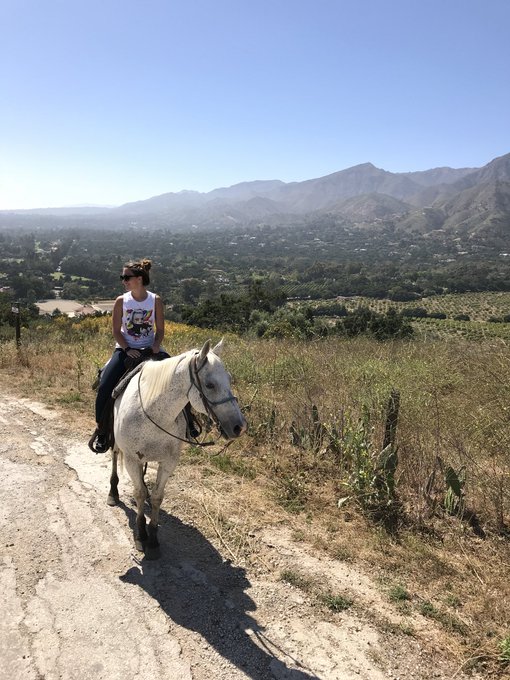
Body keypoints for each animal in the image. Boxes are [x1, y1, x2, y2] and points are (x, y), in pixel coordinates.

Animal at [107, 339, 247, 558]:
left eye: (229, 380)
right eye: (210, 385)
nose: (239, 427)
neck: (152, 410)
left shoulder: (168, 462)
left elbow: (157, 496)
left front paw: (153, 539)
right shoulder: (131, 459)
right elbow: (139, 493)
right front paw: (141, 534)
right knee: (114, 456)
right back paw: (113, 493)